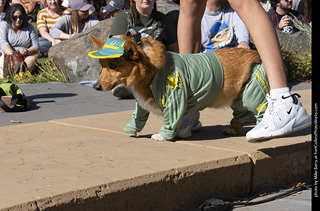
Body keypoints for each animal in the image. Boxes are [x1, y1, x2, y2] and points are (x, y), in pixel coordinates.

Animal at [87, 34, 270, 141]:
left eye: (113, 66)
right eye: (101, 67)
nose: (95, 87)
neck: (151, 70)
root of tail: (256, 55)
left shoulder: (175, 99)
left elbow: (170, 120)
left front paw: (162, 136)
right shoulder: (142, 104)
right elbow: (138, 117)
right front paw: (130, 130)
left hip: (252, 97)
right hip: (239, 98)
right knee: (241, 114)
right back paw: (233, 129)